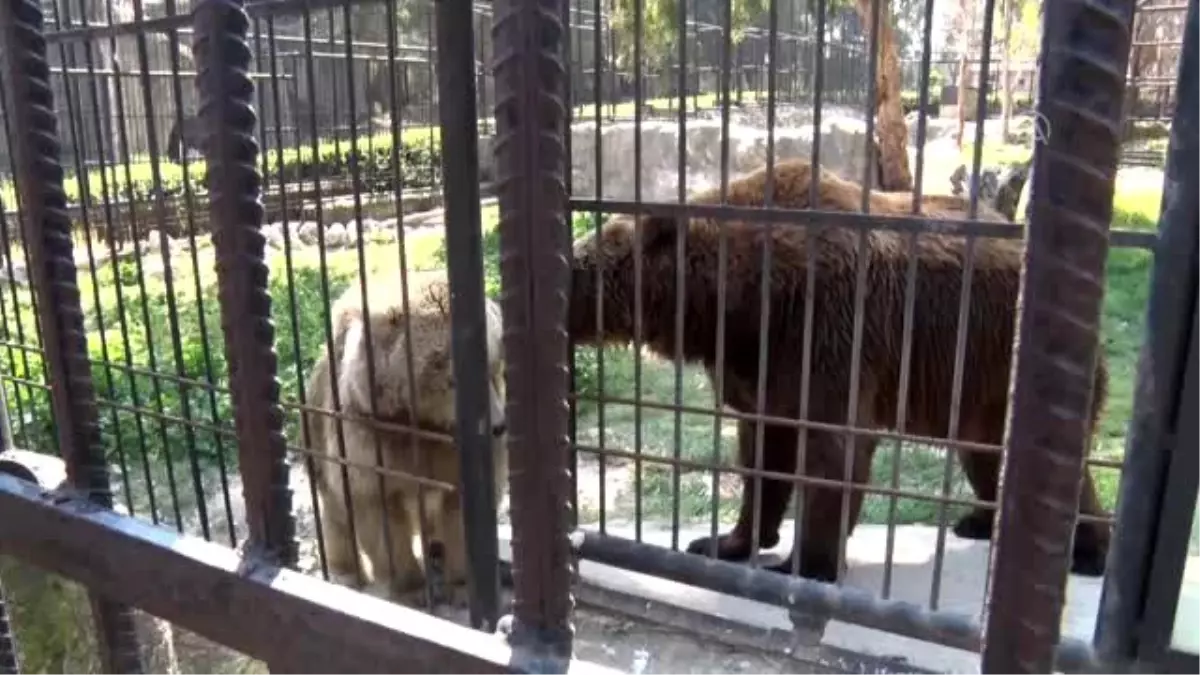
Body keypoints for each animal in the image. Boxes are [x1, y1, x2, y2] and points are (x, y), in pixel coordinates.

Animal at [302, 270, 508, 600]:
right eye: (451, 379)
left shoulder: (450, 451)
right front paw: (410, 588)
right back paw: (345, 573)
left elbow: (460, 508)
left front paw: (464, 583)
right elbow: (377, 511)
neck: (420, 421)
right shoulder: (368, 435)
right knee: (336, 520)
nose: (498, 426)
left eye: (493, 369)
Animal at [566, 156, 1108, 578]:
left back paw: (1087, 552)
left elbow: (834, 450)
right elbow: (762, 450)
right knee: (982, 451)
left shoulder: (830, 326)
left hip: (995, 355)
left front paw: (805, 565)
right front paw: (725, 541)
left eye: (582, 262)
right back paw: (978, 521)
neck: (739, 300)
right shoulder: (756, 363)